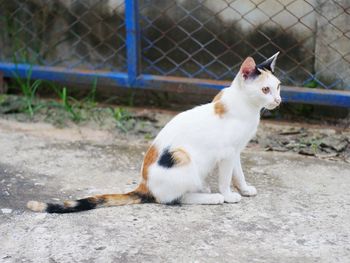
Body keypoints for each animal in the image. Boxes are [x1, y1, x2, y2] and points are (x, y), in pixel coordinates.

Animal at [27, 52, 282, 214]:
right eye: (265, 89)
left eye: (278, 87)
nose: (279, 100)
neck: (247, 107)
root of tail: (144, 185)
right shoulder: (227, 153)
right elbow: (226, 178)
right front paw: (228, 194)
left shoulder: (236, 151)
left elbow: (238, 174)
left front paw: (245, 189)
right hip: (181, 157)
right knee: (171, 199)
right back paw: (212, 197)